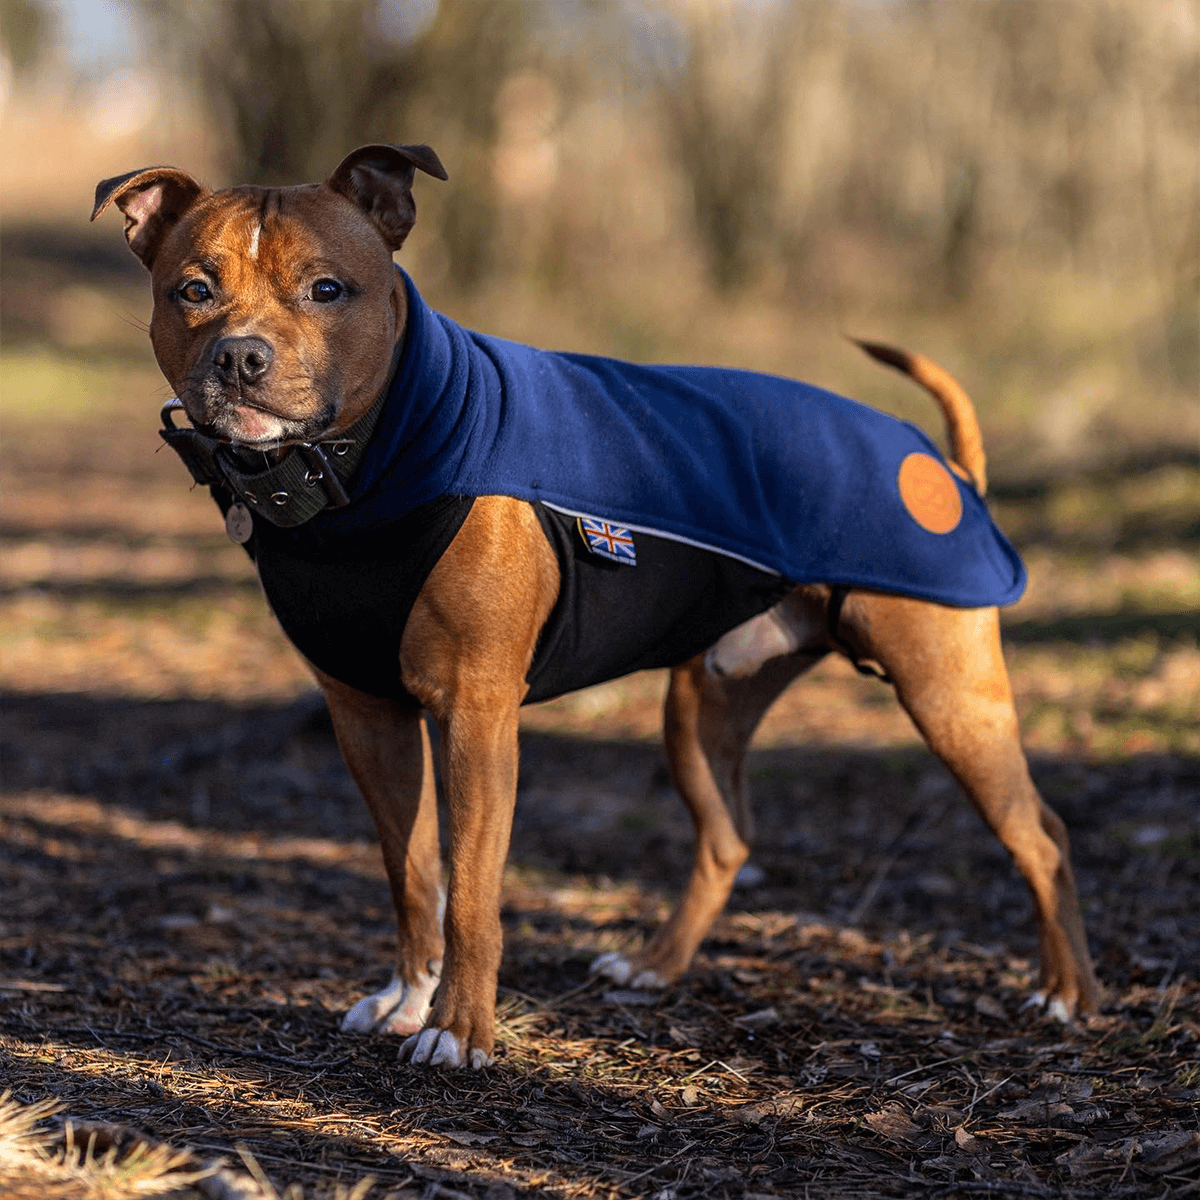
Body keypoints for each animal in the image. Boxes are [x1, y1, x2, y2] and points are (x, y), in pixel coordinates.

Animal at [93, 142, 1099, 1070]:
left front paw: (459, 1030)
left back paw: (1066, 995)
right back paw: (655, 964)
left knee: (1042, 836)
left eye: (326, 289)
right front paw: (408, 999)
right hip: (702, 707)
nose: (240, 356)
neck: (369, 467)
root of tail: (945, 465)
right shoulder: (366, 713)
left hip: (949, 692)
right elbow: (411, 873)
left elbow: (472, 886)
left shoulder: (476, 715)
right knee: (727, 839)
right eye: (193, 290)